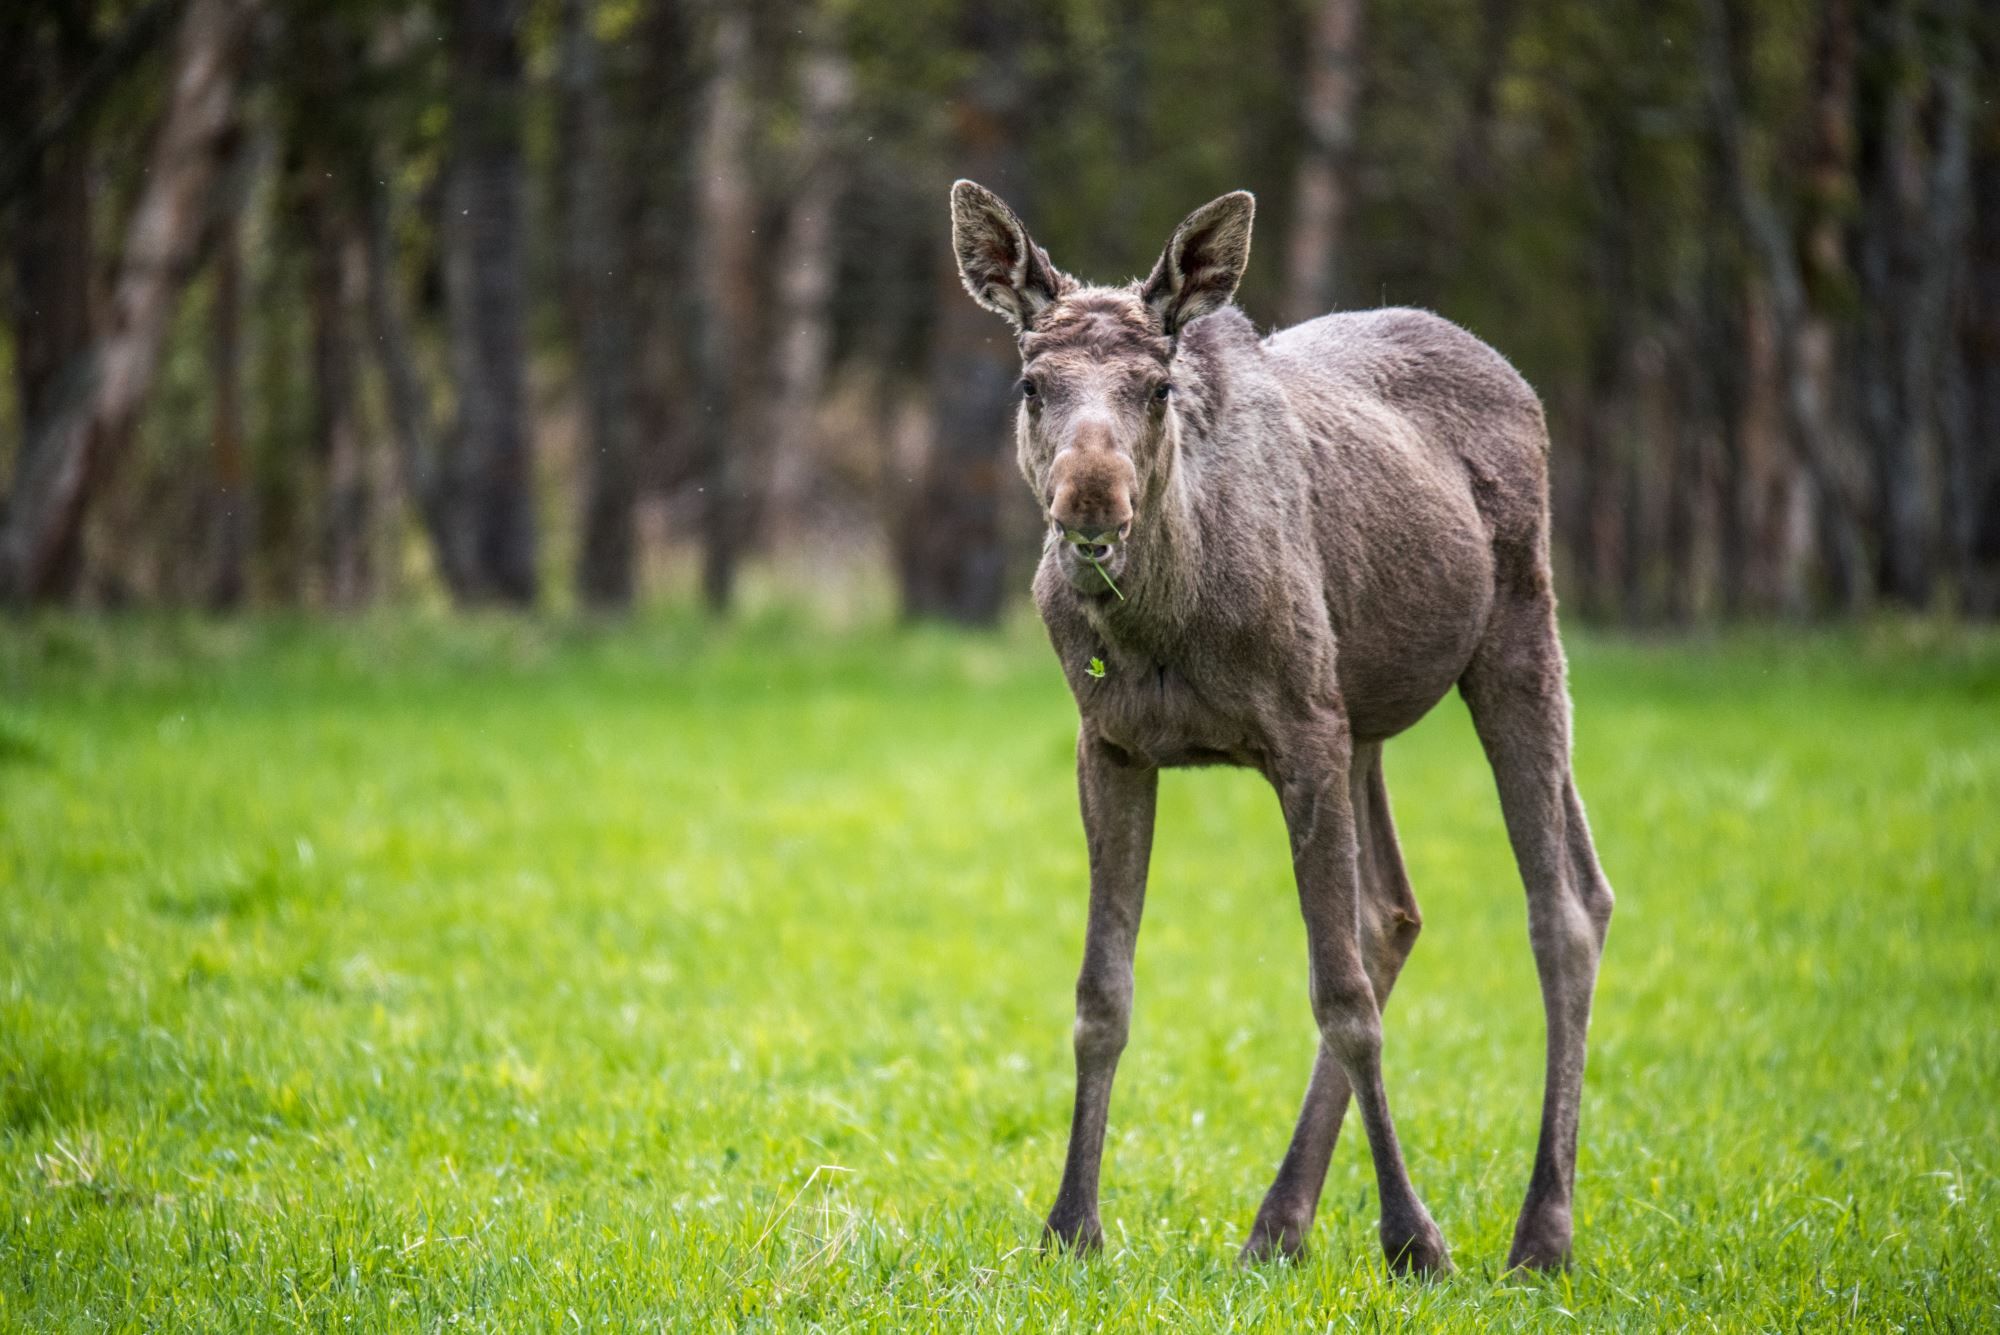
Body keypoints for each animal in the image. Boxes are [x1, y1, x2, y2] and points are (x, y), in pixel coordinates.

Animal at [946, 181, 1615, 1275]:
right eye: (1031, 384)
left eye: (1156, 386)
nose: (1090, 499)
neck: (1161, 623)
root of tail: (1514, 379)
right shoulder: (1114, 745)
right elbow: (1100, 994)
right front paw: (1071, 1226)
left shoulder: (1300, 733)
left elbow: (1338, 996)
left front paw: (1413, 1236)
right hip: (1364, 719)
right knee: (1400, 911)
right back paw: (1277, 1223)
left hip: (1517, 631)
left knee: (1562, 902)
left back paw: (1540, 1231)